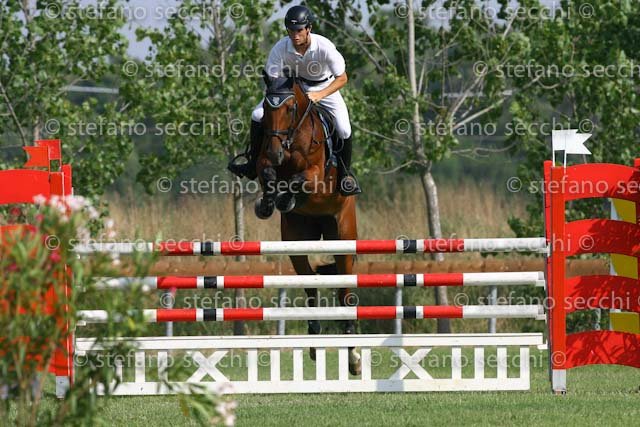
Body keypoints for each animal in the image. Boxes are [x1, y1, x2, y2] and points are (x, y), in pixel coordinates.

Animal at [255, 73, 361, 375]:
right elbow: (267, 174)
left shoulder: (314, 175)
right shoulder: (263, 161)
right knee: (310, 282)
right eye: (265, 109)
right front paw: (267, 203)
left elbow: (298, 180)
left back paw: (353, 354)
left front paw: (285, 197)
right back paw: (314, 337)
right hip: (295, 242)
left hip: (342, 238)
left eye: (290, 109)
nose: (277, 153)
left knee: (344, 291)